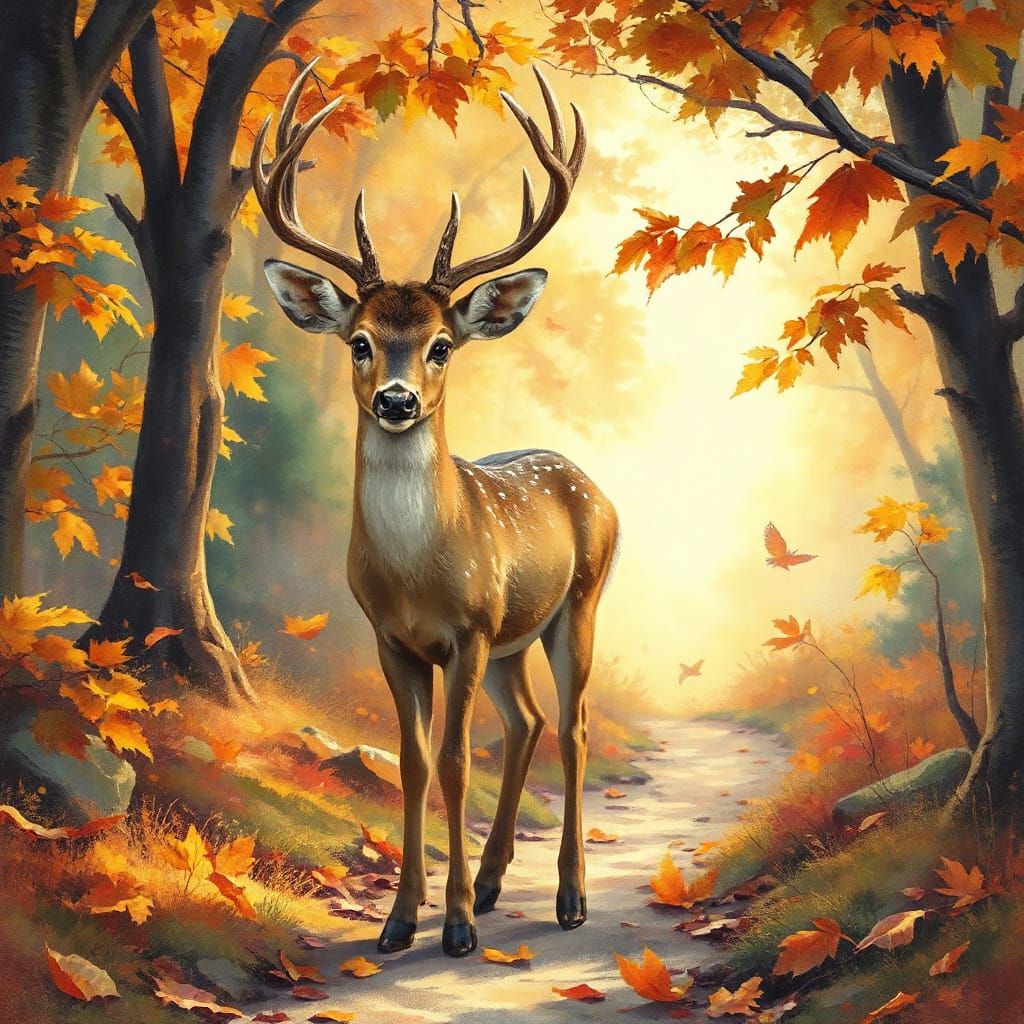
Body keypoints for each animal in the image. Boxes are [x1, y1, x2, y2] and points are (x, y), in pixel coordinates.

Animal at [251, 61, 619, 958]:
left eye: (442, 345)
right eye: (358, 341)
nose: (395, 399)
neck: (420, 576)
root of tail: (590, 483)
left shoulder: (470, 629)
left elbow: (454, 762)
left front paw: (452, 927)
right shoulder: (393, 637)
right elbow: (413, 762)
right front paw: (400, 920)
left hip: (577, 603)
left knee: (572, 726)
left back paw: (567, 898)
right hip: (517, 637)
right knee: (525, 722)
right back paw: (491, 883)